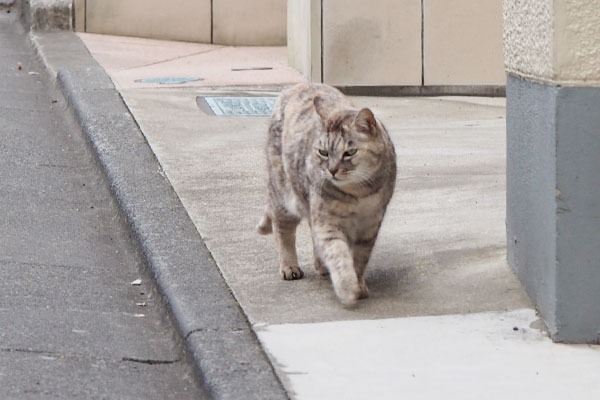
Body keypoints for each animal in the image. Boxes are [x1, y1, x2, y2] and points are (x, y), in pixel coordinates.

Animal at [256, 83, 394, 304]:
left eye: (350, 152)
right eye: (323, 152)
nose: (332, 170)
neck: (359, 194)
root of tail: (295, 86)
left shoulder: (370, 226)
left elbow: (360, 258)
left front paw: (359, 284)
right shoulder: (328, 223)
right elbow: (339, 254)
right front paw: (347, 287)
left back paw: (321, 265)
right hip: (284, 196)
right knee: (282, 230)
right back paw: (289, 266)